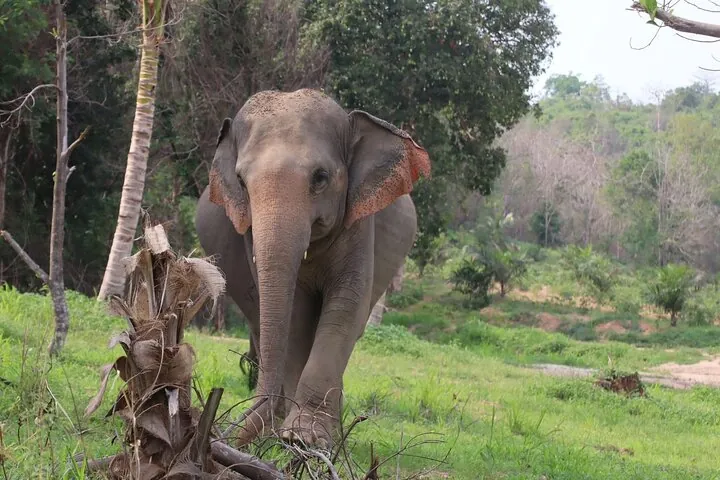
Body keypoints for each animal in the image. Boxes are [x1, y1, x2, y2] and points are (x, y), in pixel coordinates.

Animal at [195, 88, 431, 449]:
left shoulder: (359, 225)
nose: (227, 437)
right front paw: (289, 435)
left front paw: (305, 437)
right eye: (241, 181)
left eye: (321, 177)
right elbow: (296, 314)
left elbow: (346, 305)